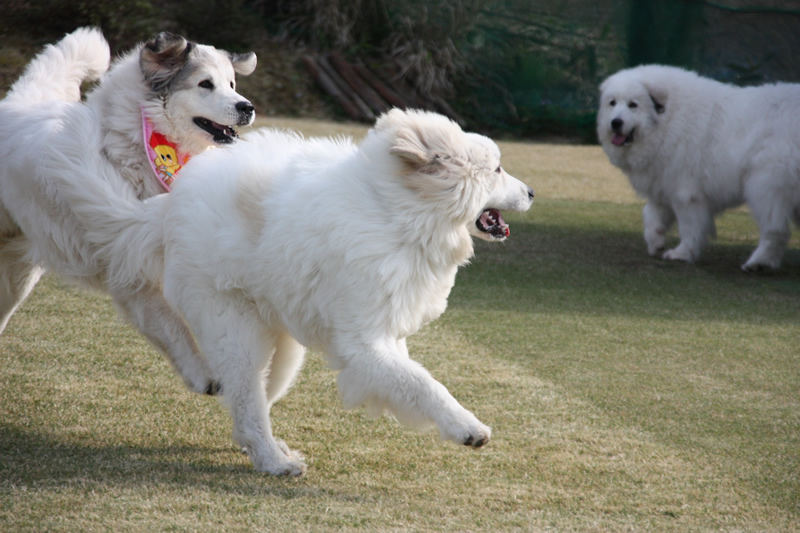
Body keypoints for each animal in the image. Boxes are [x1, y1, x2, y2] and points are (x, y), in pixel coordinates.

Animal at [0, 28, 256, 394]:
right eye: (205, 84)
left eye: (232, 84)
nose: (247, 107)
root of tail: (17, 104)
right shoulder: (131, 270)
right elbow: (173, 325)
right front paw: (203, 374)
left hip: (19, 274)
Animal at [53, 108, 536, 474]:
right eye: (496, 169)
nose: (532, 191)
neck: (397, 216)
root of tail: (170, 205)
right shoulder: (363, 343)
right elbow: (421, 383)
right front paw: (467, 427)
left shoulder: (385, 334)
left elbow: (408, 381)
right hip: (237, 335)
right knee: (245, 401)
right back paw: (274, 462)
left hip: (283, 352)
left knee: (249, 406)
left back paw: (264, 448)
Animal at [596, 63, 796, 270]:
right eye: (612, 103)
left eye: (633, 105)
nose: (615, 122)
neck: (668, 119)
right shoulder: (664, 185)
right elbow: (651, 214)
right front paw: (655, 240)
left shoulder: (687, 194)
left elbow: (689, 227)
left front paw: (683, 254)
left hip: (765, 187)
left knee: (775, 230)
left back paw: (759, 262)